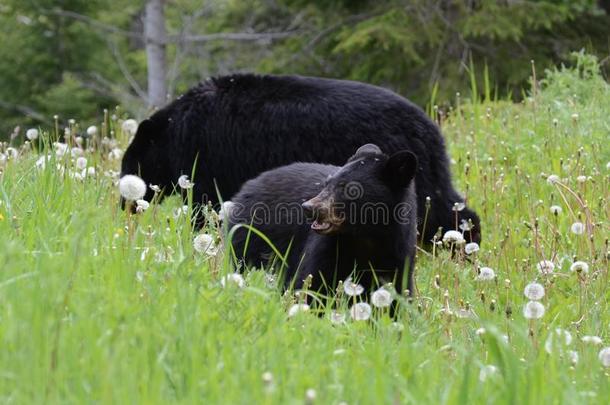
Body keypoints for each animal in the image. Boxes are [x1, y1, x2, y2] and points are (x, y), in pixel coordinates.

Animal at [120, 73, 480, 243]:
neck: (176, 130)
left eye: (128, 169)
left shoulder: (210, 158)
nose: (124, 205)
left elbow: (205, 206)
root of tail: (429, 128)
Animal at [226, 144, 416, 292]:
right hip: (250, 236)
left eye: (349, 189)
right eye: (327, 183)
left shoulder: (398, 253)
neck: (365, 237)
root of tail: (250, 184)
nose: (309, 208)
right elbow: (310, 282)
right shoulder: (327, 248)